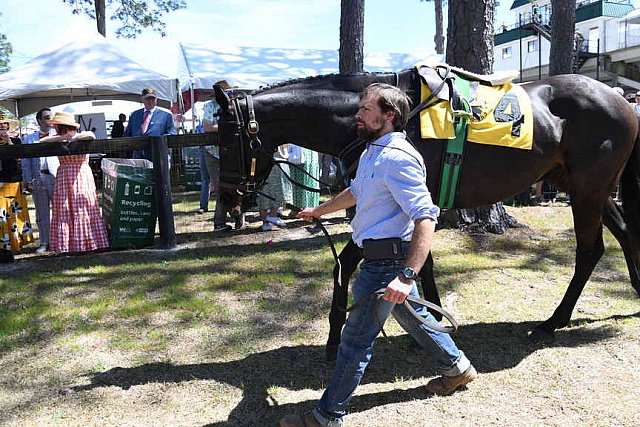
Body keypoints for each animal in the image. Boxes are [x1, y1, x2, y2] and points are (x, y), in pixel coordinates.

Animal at [214, 67, 640, 348]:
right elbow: (391, 262)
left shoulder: (415, 200)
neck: (392, 124)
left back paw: (555, 320)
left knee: (589, 250)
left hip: (587, 190)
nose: (229, 198)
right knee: (623, 231)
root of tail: (621, 99)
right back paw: (634, 289)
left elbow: (368, 262)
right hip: (584, 187)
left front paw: (342, 334)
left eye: (227, 138)